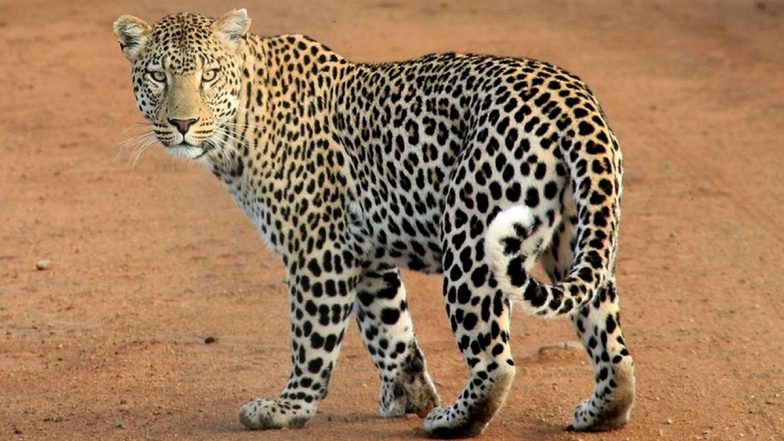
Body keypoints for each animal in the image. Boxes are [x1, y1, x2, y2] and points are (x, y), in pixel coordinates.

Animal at [113, 9, 635, 437]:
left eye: (208, 76)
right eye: (158, 76)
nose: (182, 124)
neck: (241, 124)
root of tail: (574, 103)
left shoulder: (319, 252)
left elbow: (312, 339)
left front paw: (288, 408)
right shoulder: (365, 255)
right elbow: (391, 329)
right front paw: (408, 393)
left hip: (471, 242)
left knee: (495, 361)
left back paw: (451, 420)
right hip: (577, 239)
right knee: (611, 343)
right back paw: (600, 412)